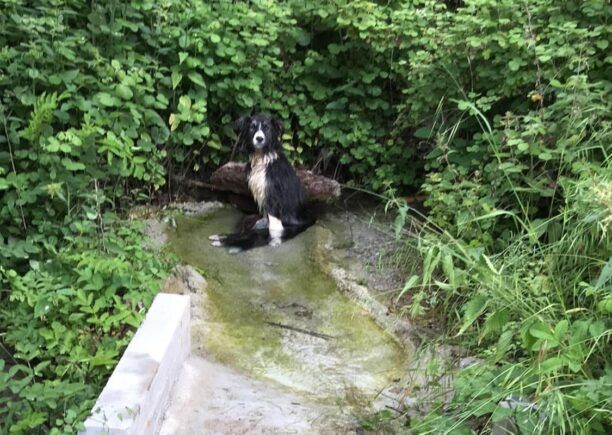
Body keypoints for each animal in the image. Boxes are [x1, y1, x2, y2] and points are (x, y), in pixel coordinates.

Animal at [209, 114, 316, 254]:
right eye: (252, 127)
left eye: (266, 128)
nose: (259, 138)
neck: (262, 157)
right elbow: (264, 219)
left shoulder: (273, 193)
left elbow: (273, 225)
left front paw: (273, 239)